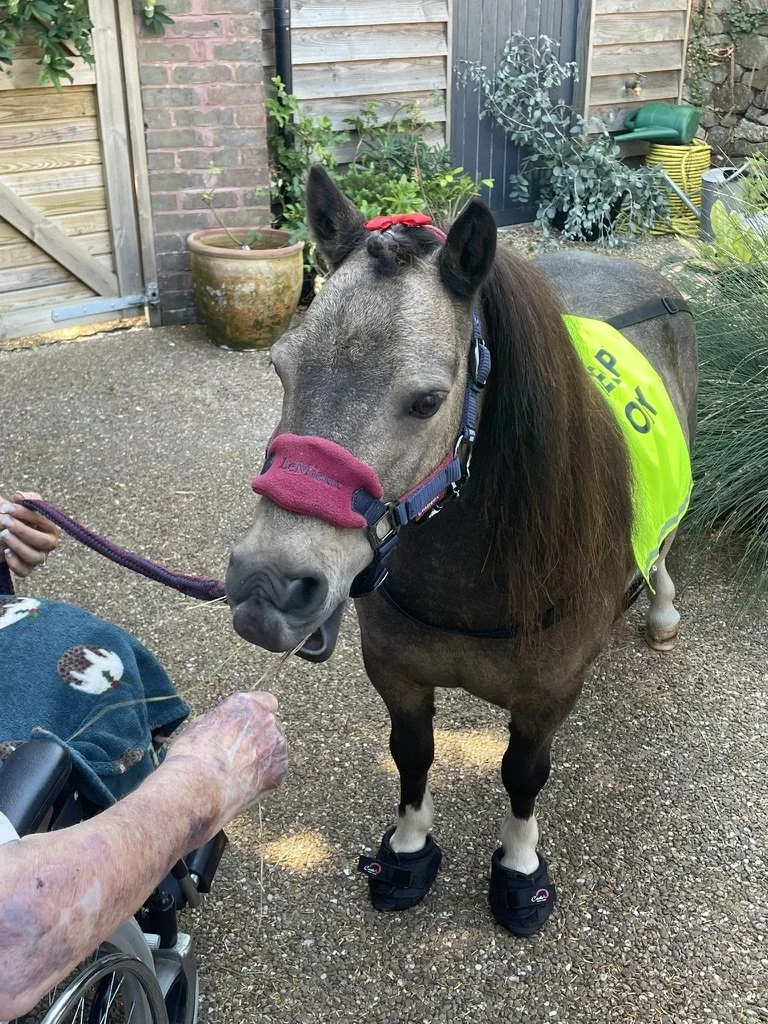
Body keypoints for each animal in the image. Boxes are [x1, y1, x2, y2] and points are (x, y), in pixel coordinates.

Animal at [225, 165, 698, 935]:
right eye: (280, 369)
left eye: (426, 401)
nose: (268, 587)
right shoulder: (397, 673)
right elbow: (412, 756)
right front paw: (409, 850)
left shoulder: (546, 697)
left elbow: (522, 775)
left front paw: (520, 867)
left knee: (663, 547)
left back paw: (660, 612)